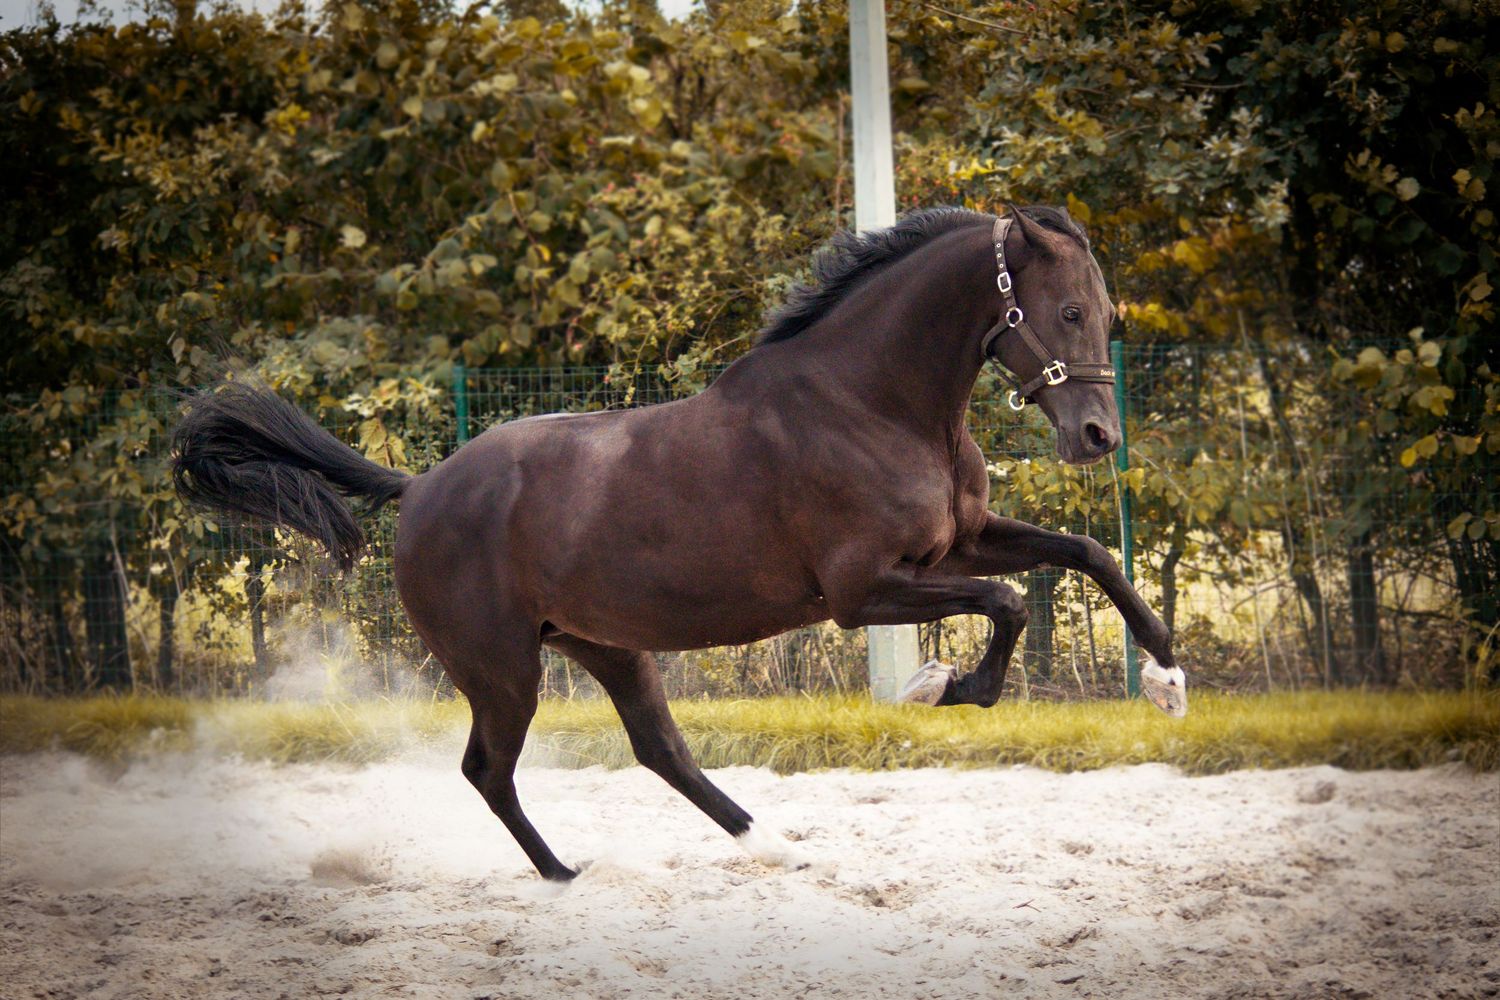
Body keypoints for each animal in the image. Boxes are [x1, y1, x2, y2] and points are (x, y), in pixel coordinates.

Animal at [172, 204, 1186, 882]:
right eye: (1065, 312)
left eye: (1105, 315)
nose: (1097, 436)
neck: (874, 402)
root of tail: (419, 489)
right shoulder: (862, 590)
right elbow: (1009, 604)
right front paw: (940, 686)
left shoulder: (959, 543)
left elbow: (1085, 554)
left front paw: (1168, 677)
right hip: (502, 668)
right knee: (490, 770)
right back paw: (564, 875)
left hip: (606, 647)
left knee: (661, 751)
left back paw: (772, 843)